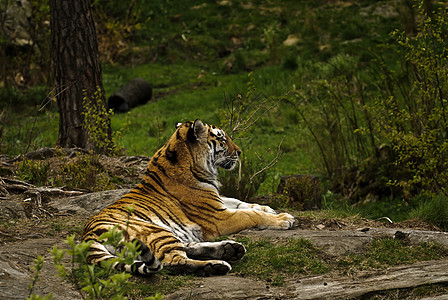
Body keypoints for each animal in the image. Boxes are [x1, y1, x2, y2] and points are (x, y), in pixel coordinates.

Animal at [82, 118, 296, 276]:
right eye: (222, 139)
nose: (239, 152)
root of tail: (87, 236)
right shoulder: (218, 217)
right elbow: (250, 215)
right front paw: (284, 219)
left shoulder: (217, 200)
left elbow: (240, 203)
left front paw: (268, 209)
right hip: (155, 231)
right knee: (173, 261)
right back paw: (216, 265)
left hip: (168, 232)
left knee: (187, 246)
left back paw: (230, 249)